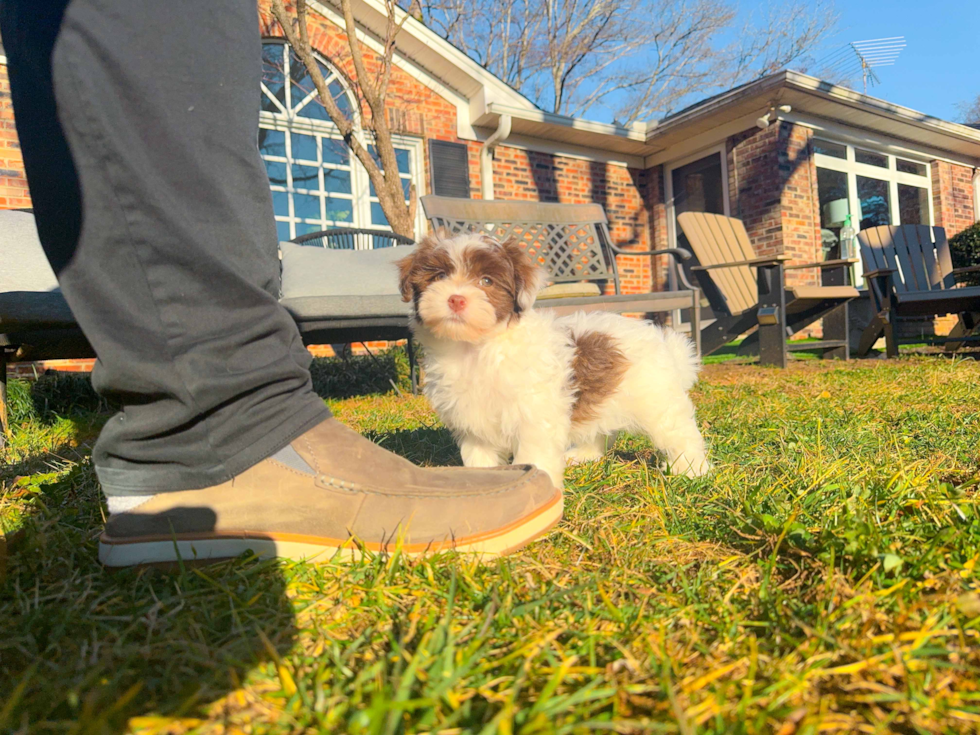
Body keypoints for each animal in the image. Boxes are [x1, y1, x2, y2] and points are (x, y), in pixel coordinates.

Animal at [398, 233, 712, 486]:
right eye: (439, 276)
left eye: (486, 281)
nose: (456, 299)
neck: (476, 349)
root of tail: (663, 341)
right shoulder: (472, 422)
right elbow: (479, 457)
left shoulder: (534, 416)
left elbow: (533, 455)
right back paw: (584, 454)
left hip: (656, 400)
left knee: (678, 431)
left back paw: (690, 469)